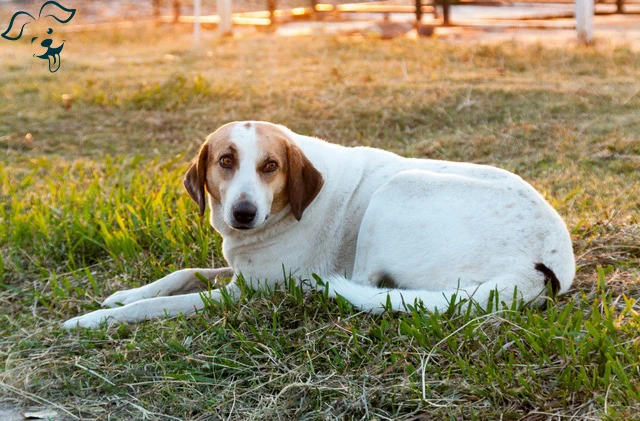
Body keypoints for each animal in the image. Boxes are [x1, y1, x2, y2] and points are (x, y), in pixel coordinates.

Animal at [62, 121, 576, 328]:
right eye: (225, 161)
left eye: (270, 166)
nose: (243, 214)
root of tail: (539, 267)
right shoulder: (241, 268)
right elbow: (182, 272)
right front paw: (125, 293)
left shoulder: (245, 291)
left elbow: (158, 306)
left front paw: (95, 320)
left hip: (397, 191)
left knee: (364, 286)